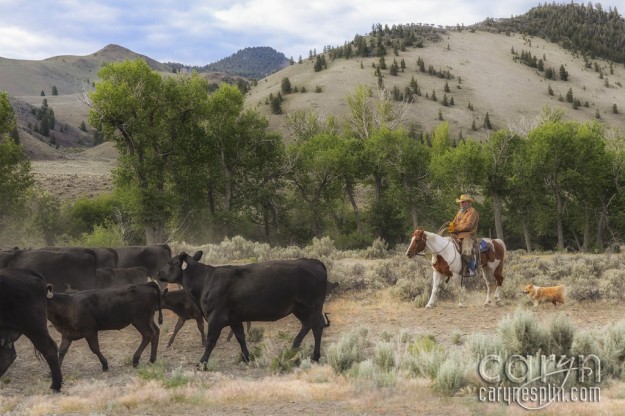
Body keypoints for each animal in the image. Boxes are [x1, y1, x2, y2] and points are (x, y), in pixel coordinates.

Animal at [158, 252, 330, 368]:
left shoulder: (216, 317)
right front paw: (247, 358)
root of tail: (314, 261)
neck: (205, 281)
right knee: (308, 325)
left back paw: (315, 356)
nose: (159, 273)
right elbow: (240, 337)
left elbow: (211, 341)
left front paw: (202, 363)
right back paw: (294, 348)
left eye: (171, 262)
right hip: (299, 308)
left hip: (312, 306)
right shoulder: (234, 319)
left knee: (317, 326)